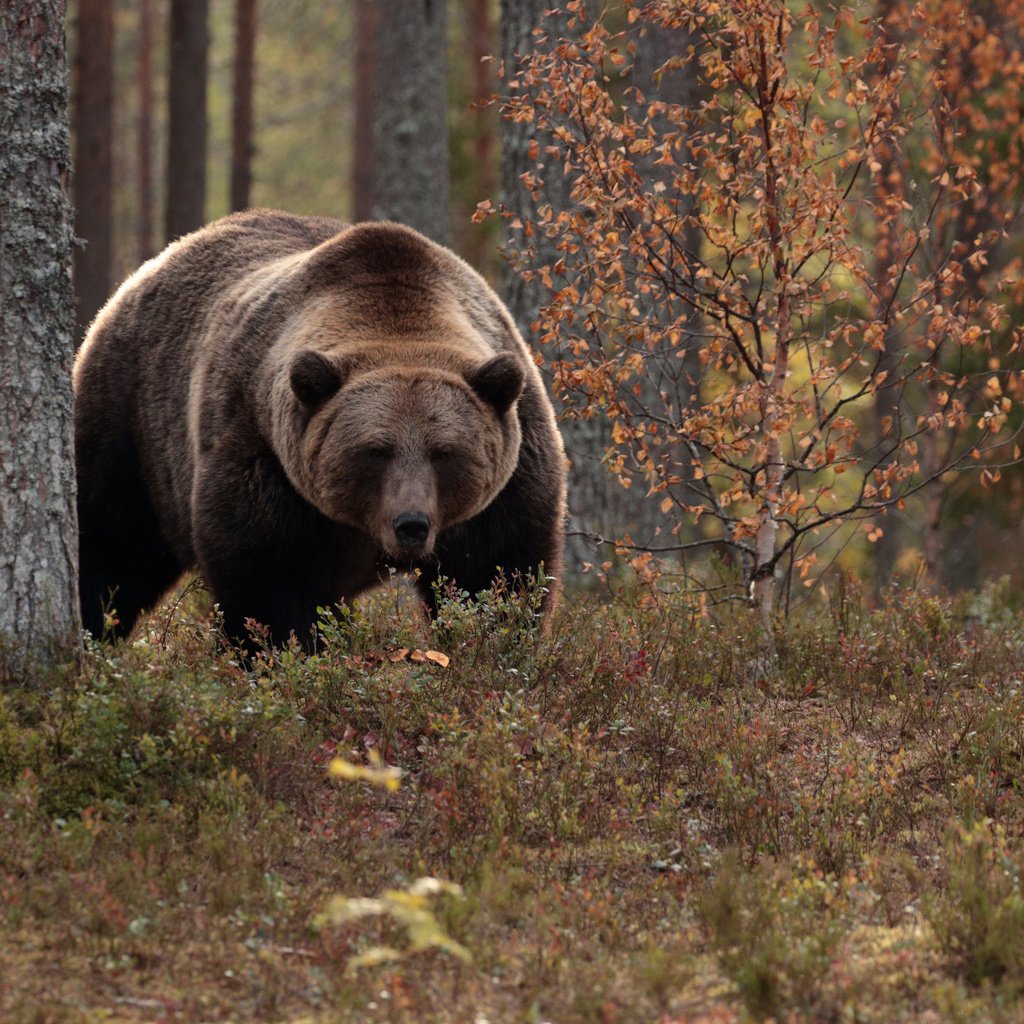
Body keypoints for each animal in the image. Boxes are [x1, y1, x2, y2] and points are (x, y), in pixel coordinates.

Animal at [72, 210, 569, 643]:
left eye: (444, 452)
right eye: (375, 449)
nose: (411, 524)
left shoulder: (510, 475)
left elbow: (496, 575)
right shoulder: (262, 452)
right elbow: (272, 583)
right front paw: (283, 652)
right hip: (135, 425)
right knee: (110, 544)